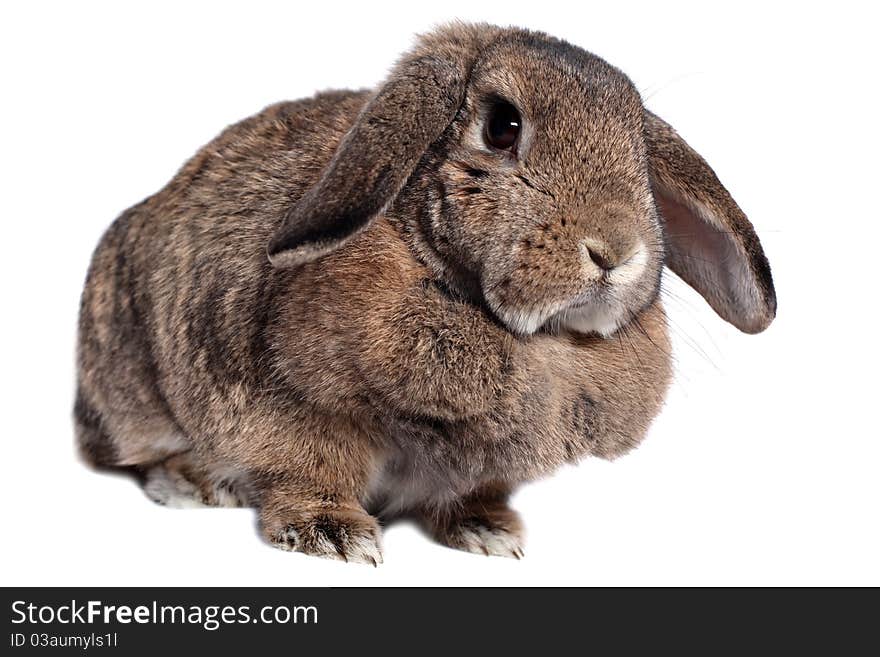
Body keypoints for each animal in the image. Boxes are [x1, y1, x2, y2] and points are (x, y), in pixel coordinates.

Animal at [77, 23, 776, 560]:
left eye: (638, 151)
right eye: (502, 127)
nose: (616, 252)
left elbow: (469, 494)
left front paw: (490, 533)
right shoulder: (290, 408)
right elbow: (309, 468)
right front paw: (335, 536)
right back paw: (191, 483)